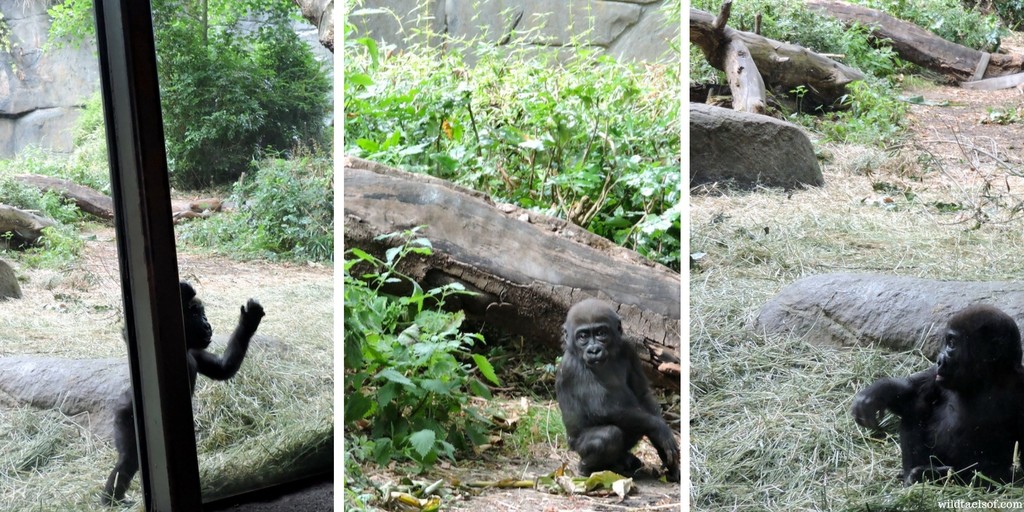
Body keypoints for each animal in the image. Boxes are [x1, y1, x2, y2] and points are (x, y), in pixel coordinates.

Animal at [100, 282, 264, 505]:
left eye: (202, 313)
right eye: (195, 313)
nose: (207, 323)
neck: (184, 344)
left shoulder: (195, 352)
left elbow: (222, 369)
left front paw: (249, 321)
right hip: (124, 418)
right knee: (129, 459)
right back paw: (110, 500)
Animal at [557, 299, 675, 481]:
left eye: (601, 333)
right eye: (583, 336)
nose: (594, 350)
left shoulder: (628, 347)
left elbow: (642, 394)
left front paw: (667, 455)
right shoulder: (573, 366)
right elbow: (602, 409)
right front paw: (661, 430)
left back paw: (622, 461)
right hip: (575, 446)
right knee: (609, 435)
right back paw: (586, 467)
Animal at [851, 305, 1024, 485]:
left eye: (952, 344)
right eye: (948, 343)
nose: (939, 360)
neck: (986, 381)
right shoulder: (938, 376)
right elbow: (914, 393)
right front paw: (876, 395)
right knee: (915, 409)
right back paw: (915, 474)